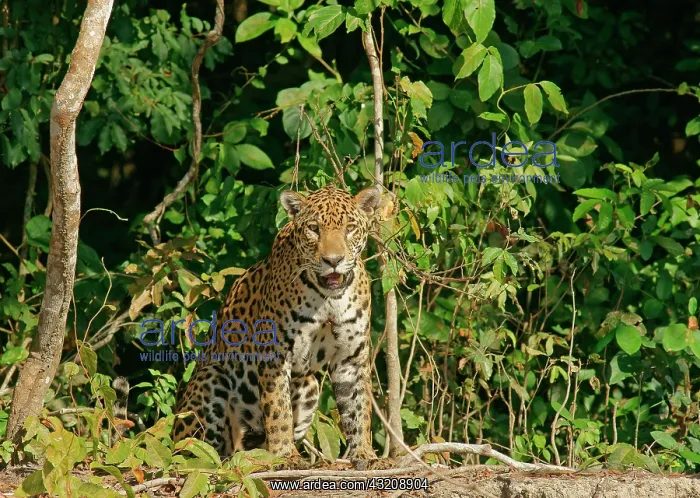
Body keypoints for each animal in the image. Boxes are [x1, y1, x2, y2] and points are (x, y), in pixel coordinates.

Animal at [172, 184, 382, 465]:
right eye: (314, 228)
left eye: (349, 227)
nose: (333, 260)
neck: (329, 298)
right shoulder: (273, 353)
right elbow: (278, 409)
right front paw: (285, 455)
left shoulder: (351, 356)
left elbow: (358, 407)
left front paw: (364, 452)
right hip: (211, 379)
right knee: (200, 451)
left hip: (309, 385)